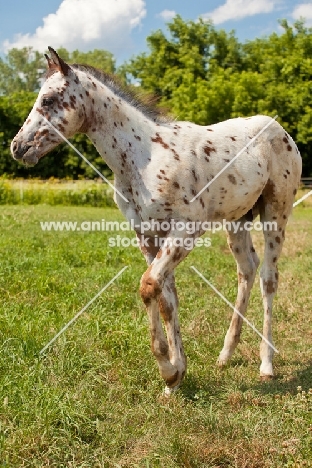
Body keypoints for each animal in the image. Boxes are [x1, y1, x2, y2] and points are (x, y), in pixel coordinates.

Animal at [11, 47, 302, 394]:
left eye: (49, 99)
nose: (18, 147)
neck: (143, 156)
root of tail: (280, 130)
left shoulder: (186, 229)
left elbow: (148, 285)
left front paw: (167, 369)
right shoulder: (148, 236)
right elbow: (166, 299)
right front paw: (176, 375)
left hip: (276, 213)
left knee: (268, 278)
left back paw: (266, 364)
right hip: (237, 219)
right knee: (247, 269)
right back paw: (225, 354)